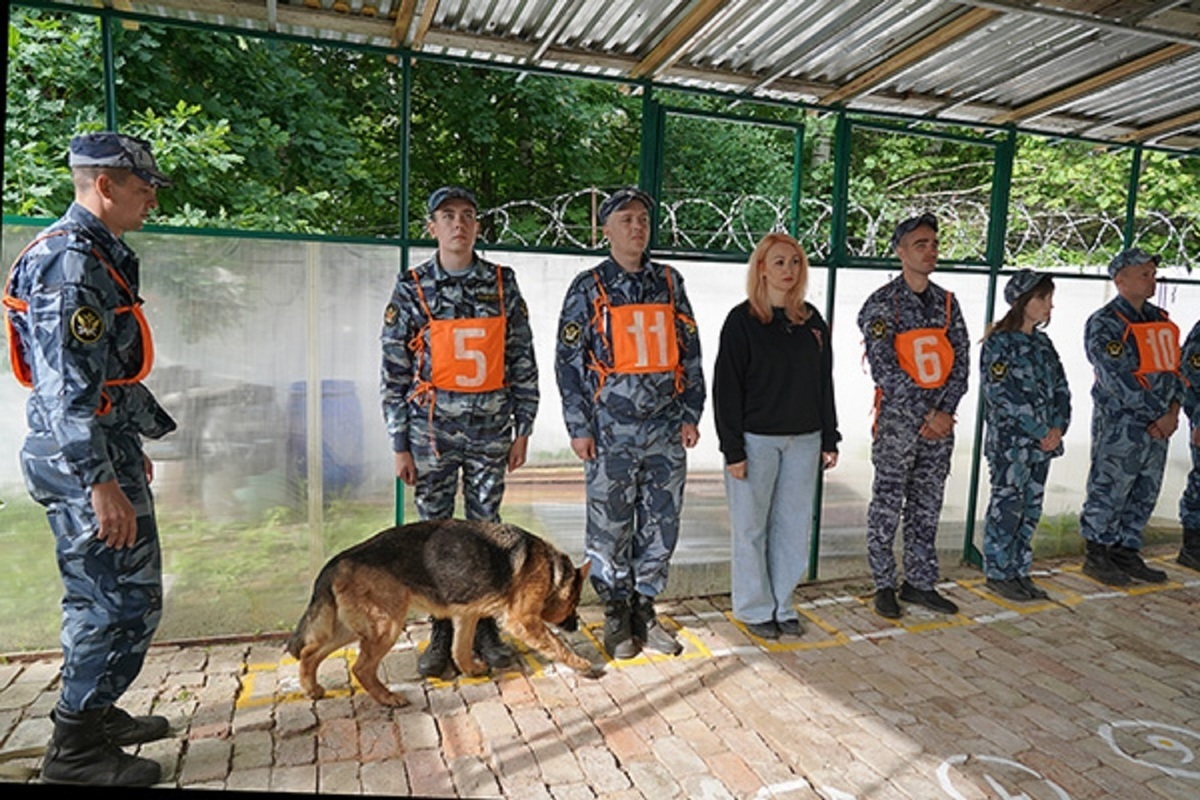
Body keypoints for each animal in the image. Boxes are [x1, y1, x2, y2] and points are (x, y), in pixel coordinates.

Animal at [285, 515, 595, 705]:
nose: (577, 624)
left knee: (310, 652)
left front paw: (470, 669)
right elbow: (557, 644)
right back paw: (387, 698)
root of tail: (339, 560)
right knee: (360, 668)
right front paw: (582, 664)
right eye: (574, 603)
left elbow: (460, 648)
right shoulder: (523, 621)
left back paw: (312, 689)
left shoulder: (466, 616)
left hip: (354, 629)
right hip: (386, 627)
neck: (552, 570)